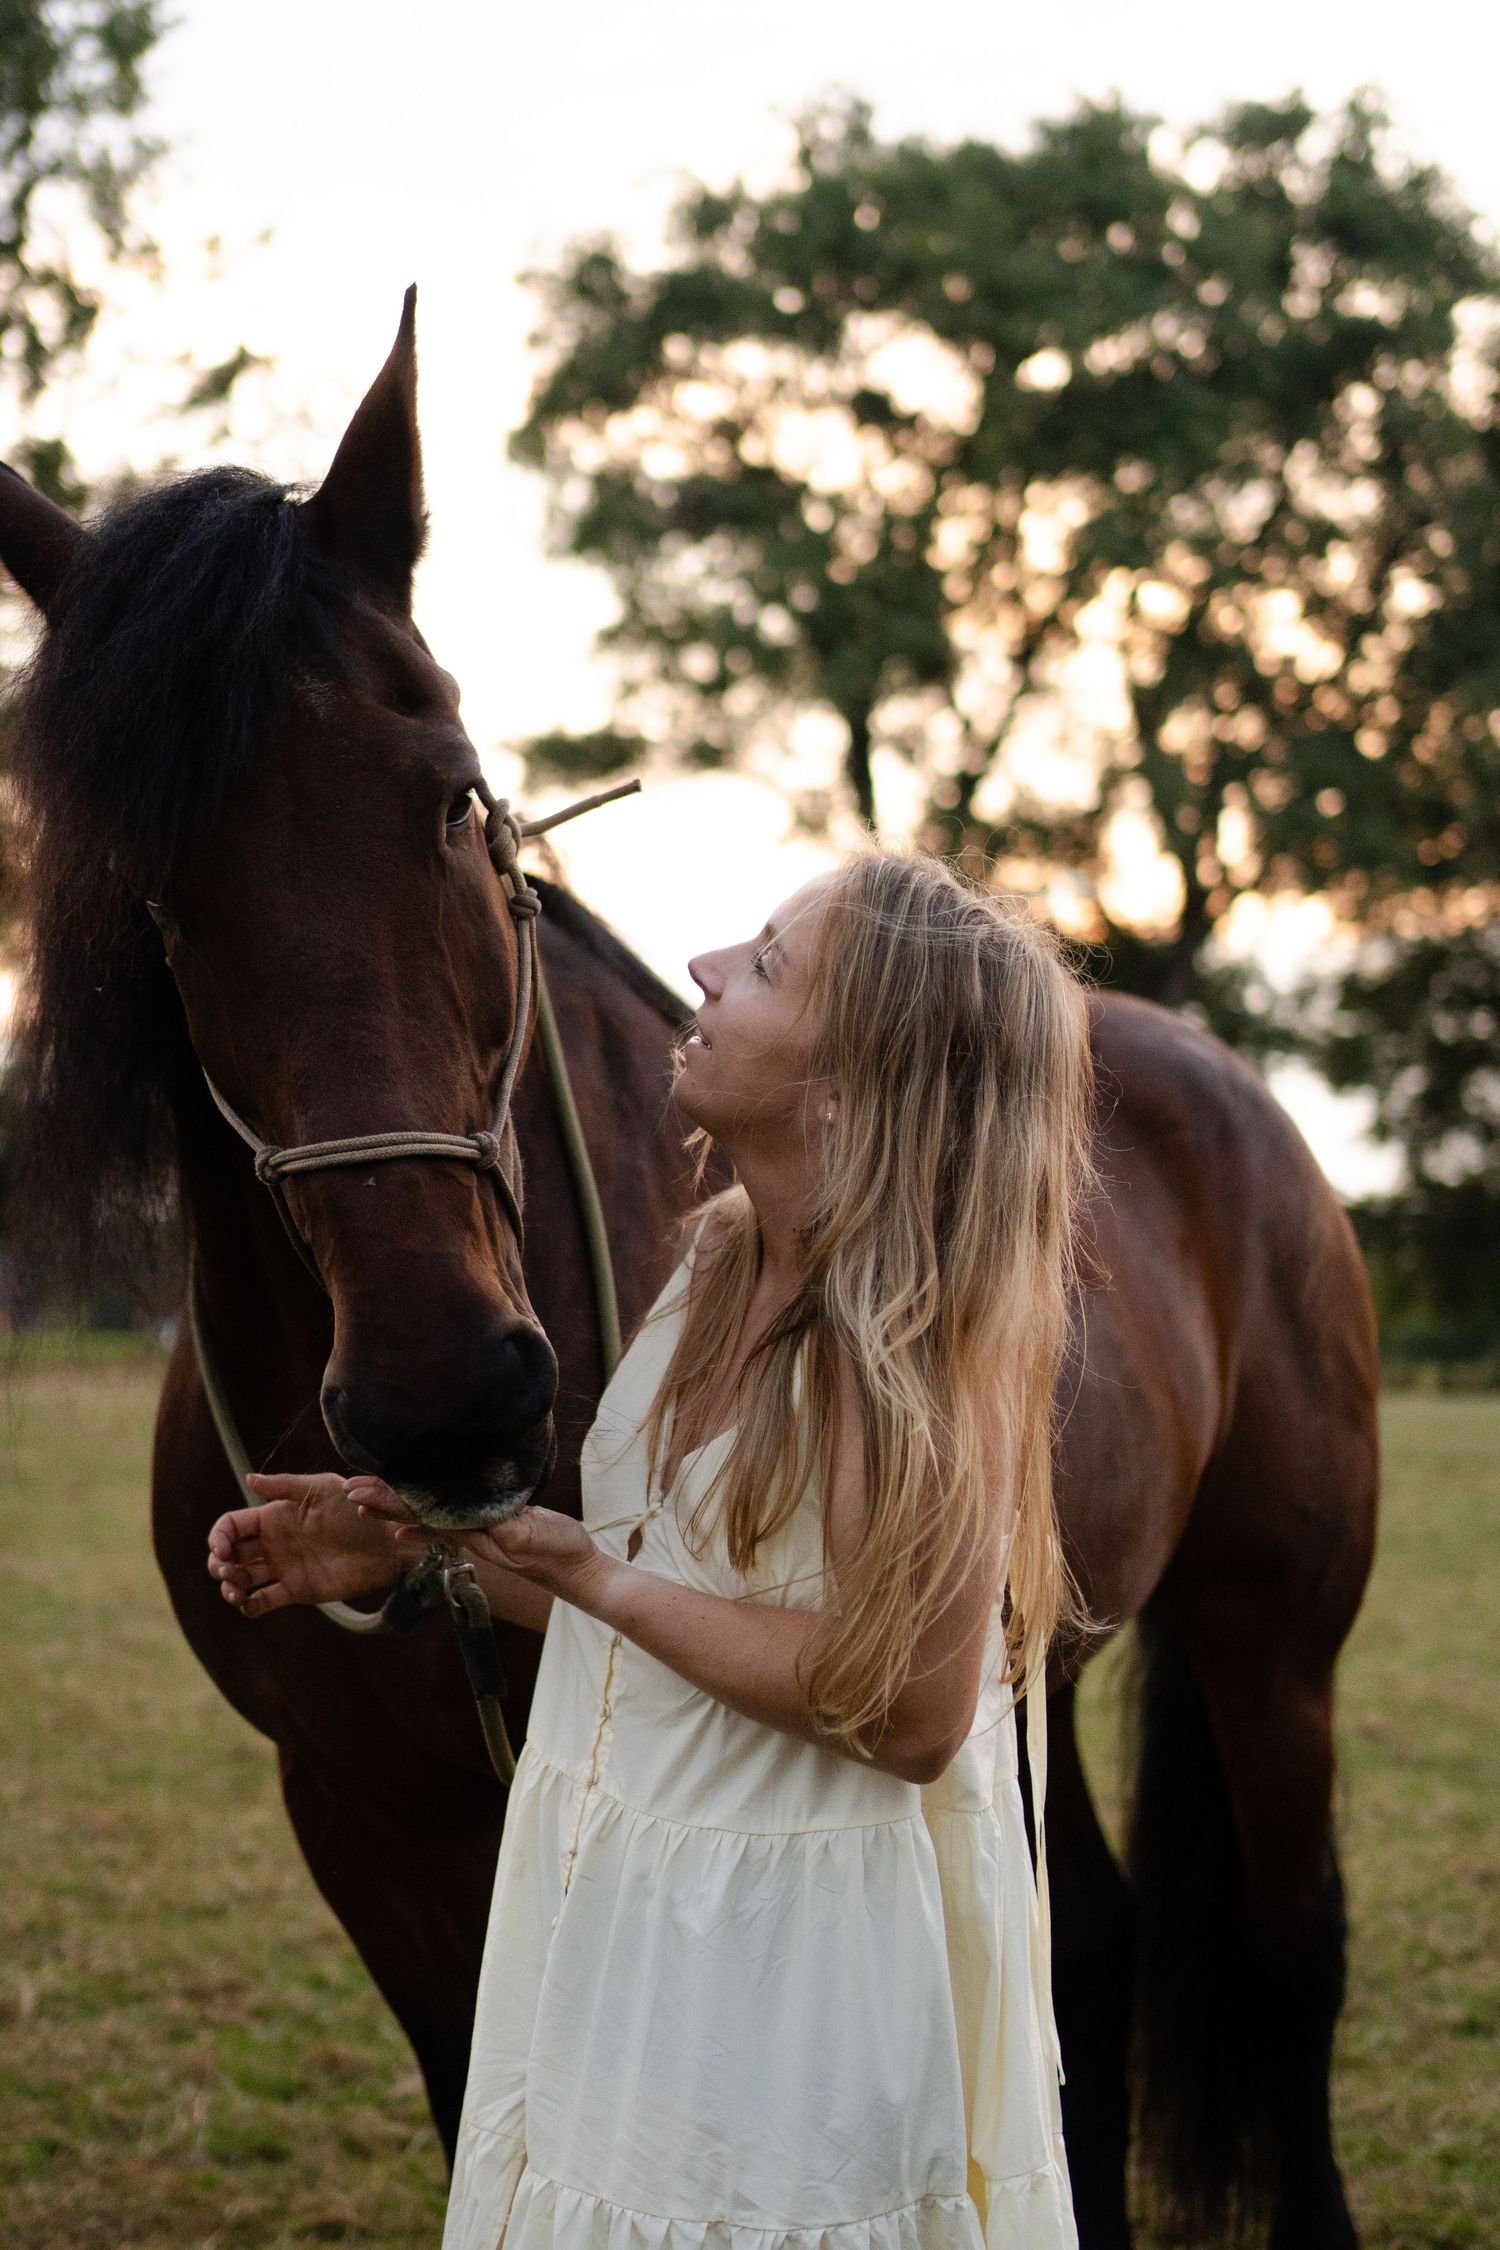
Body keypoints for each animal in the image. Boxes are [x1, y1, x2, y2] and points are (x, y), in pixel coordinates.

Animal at [1, 296, 1378, 2249]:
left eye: (452, 801)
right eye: (153, 890)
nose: (446, 1394)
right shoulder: (367, 1823)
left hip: (1275, 1637)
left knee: (1288, 1952)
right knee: (1094, 1951)